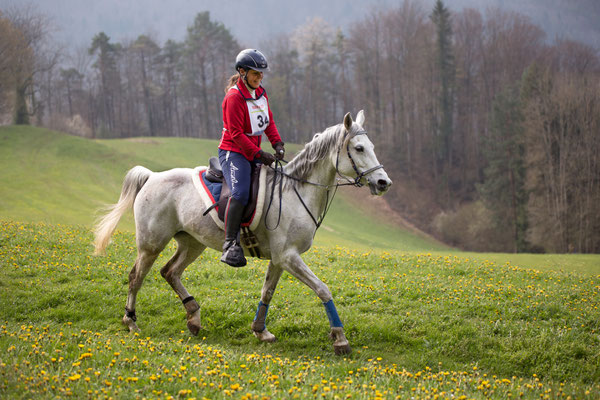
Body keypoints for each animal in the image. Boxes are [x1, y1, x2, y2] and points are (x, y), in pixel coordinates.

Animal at [92, 109, 394, 354]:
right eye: (358, 148)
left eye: (371, 146)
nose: (383, 183)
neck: (295, 192)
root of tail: (152, 176)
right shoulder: (288, 256)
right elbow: (323, 289)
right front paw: (340, 339)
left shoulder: (279, 259)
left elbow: (267, 292)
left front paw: (261, 331)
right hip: (151, 243)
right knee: (136, 277)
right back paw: (131, 321)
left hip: (192, 243)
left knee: (170, 272)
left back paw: (194, 317)